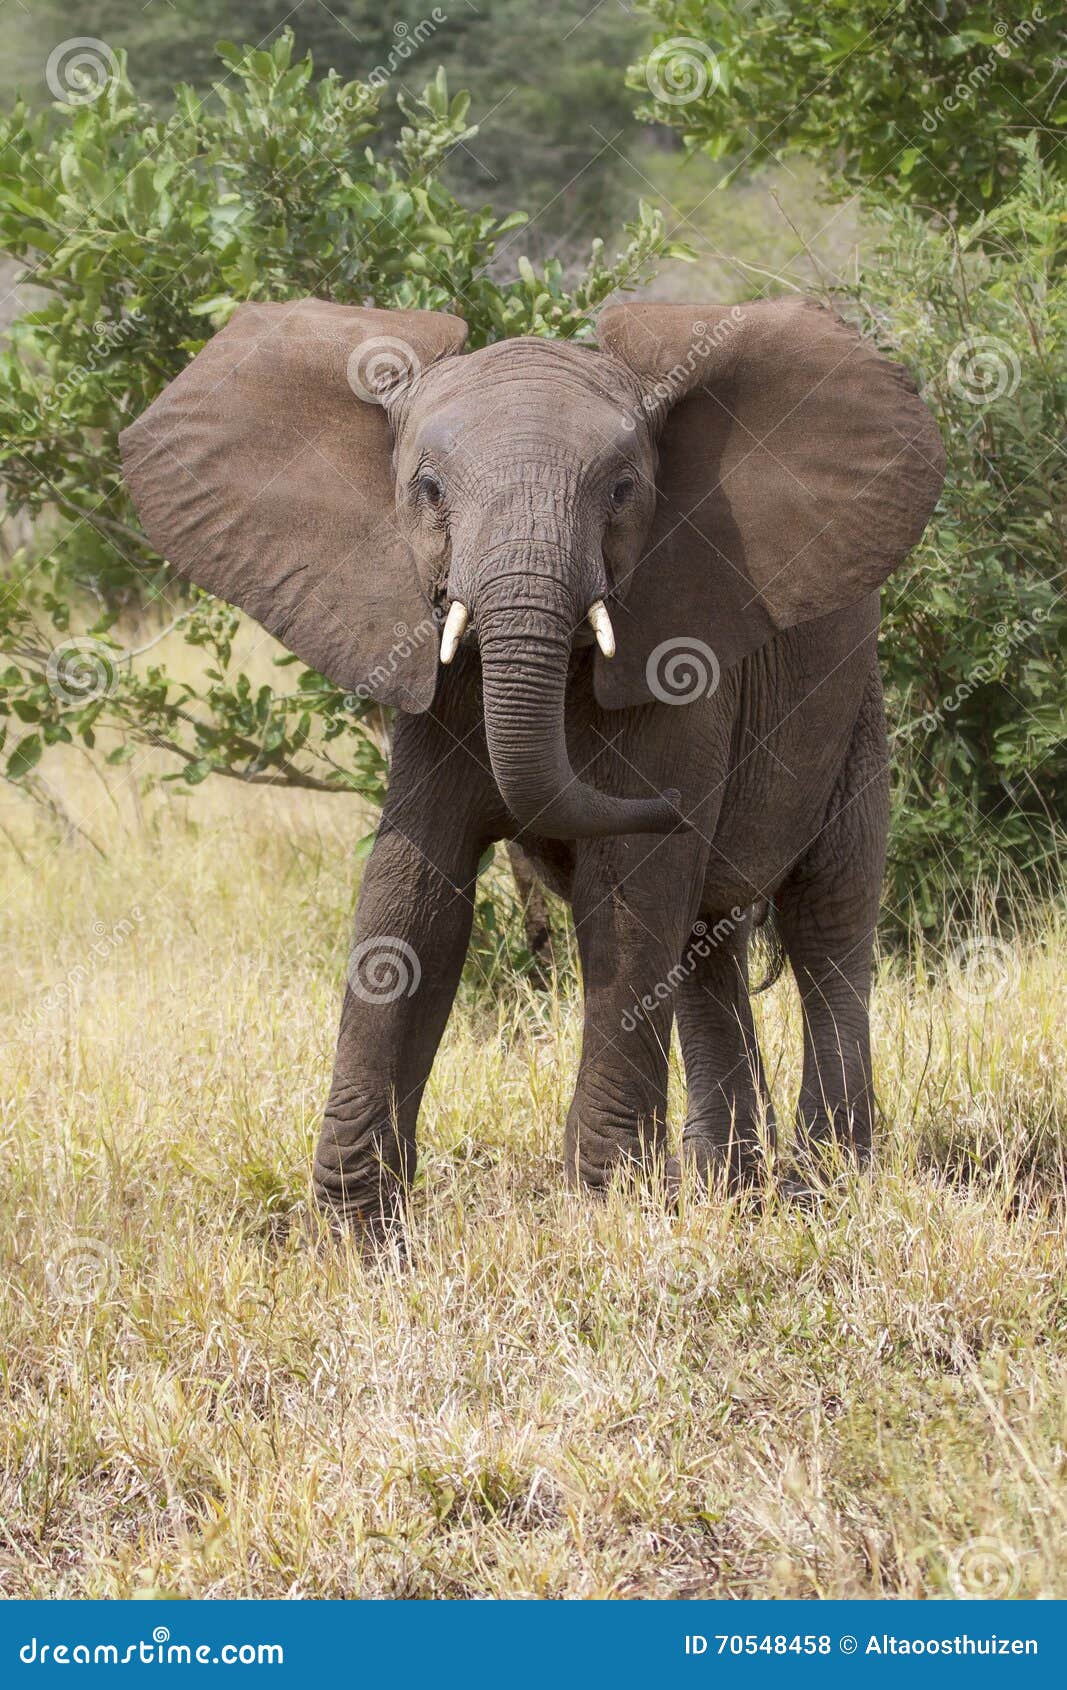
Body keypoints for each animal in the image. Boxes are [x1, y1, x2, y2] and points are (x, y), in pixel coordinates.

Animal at [120, 294, 944, 1241]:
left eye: (622, 490)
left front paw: (606, 1212)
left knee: (824, 921)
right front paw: (357, 1240)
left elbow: (627, 896)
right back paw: (726, 1197)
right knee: (707, 945)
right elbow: (413, 896)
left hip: (857, 712)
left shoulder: (682, 642)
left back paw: (821, 1194)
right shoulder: (431, 673)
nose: (674, 803)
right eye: (428, 491)